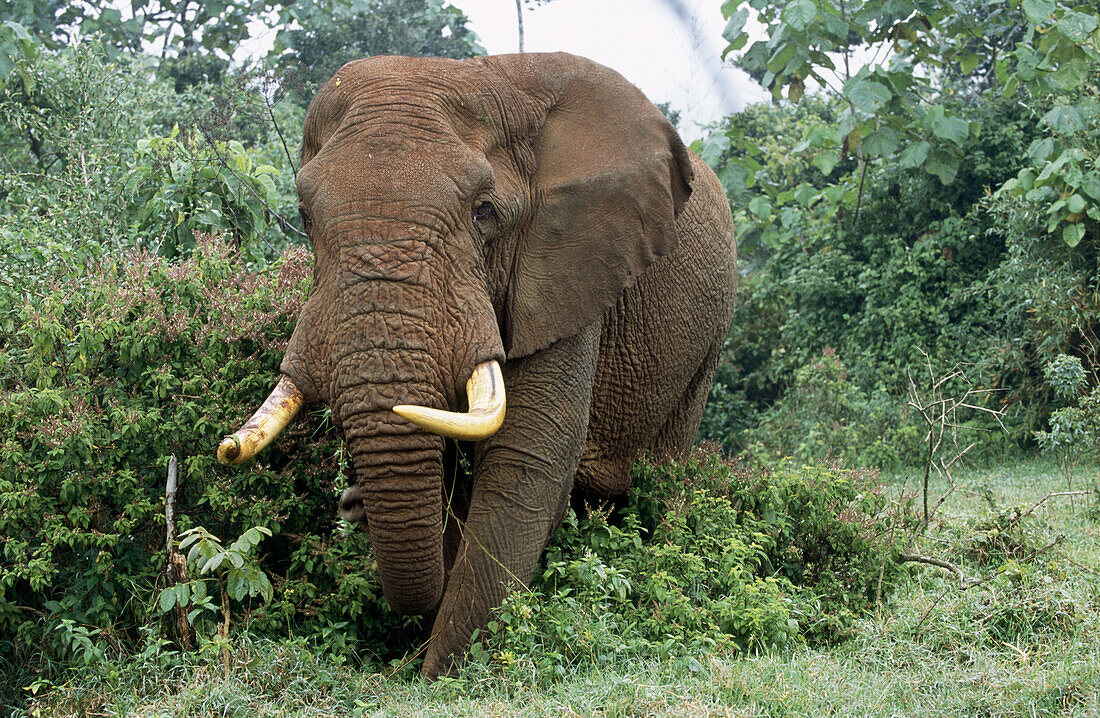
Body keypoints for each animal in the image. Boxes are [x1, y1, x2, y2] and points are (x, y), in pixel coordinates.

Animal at [215, 51, 734, 677]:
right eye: (304, 217)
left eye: (484, 213)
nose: (350, 502)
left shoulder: (568, 270)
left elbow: (526, 460)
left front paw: (440, 678)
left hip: (708, 337)